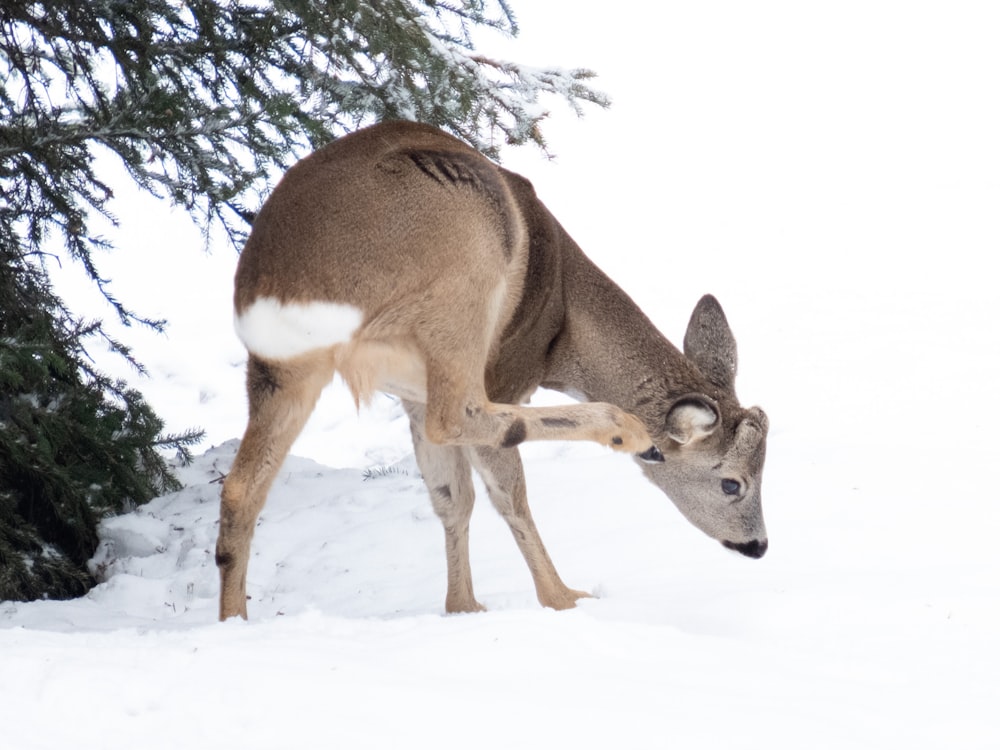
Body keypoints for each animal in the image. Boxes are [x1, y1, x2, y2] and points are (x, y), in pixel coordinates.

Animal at [215, 119, 768, 624]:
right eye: (733, 483)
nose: (758, 545)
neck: (563, 327)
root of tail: (285, 288)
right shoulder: (505, 372)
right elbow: (508, 494)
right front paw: (562, 599)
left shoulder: (410, 396)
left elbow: (451, 498)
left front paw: (463, 607)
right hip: (467, 259)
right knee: (460, 417)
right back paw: (622, 432)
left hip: (282, 370)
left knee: (242, 487)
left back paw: (233, 620)